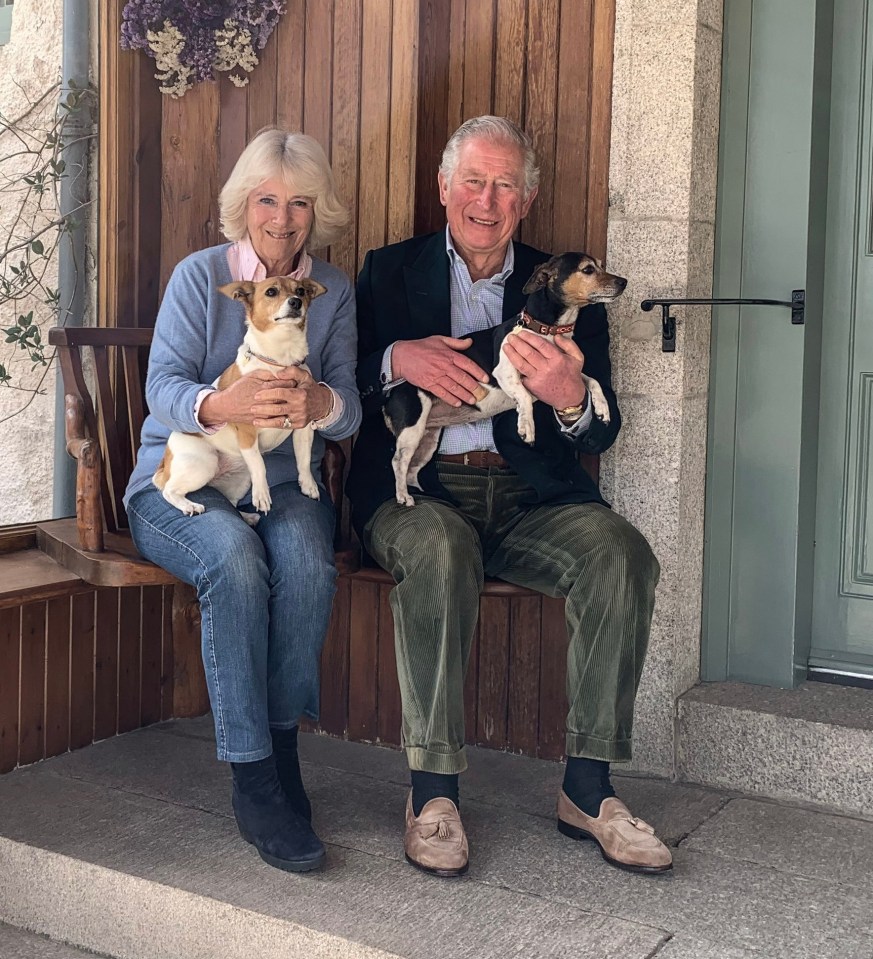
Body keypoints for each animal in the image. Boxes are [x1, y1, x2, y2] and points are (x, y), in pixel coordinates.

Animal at [152, 276, 326, 524]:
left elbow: (303, 459)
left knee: (233, 504)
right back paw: (190, 505)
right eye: (271, 292)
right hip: (203, 461)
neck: (280, 360)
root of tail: (164, 462)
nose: (295, 302)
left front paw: (308, 485)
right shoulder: (247, 432)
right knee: (169, 490)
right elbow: (260, 466)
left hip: (240, 478)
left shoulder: (303, 428)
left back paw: (247, 517)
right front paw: (262, 495)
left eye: (301, 291)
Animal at [384, 255, 624, 506]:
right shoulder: (504, 372)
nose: (623, 282)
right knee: (398, 462)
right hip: (412, 430)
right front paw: (526, 427)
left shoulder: (567, 370)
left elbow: (593, 381)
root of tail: (391, 393)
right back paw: (403, 497)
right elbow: (525, 396)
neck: (546, 330)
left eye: (601, 266)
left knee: (411, 470)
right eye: (587, 270)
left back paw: (425, 494)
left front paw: (602, 409)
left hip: (427, 440)